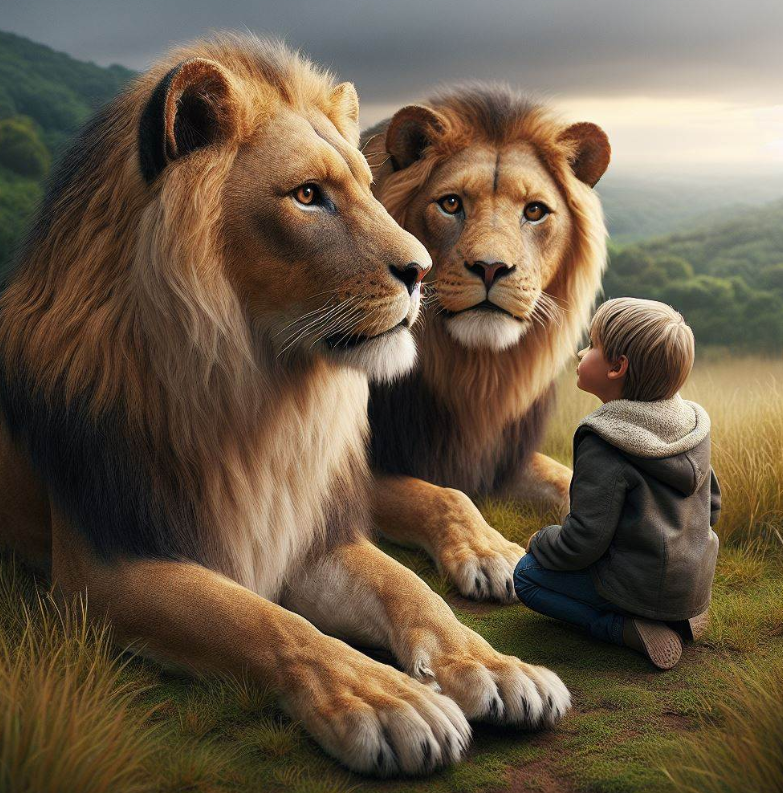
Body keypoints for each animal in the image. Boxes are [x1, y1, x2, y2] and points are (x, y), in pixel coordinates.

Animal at [0, 40, 570, 776]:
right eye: (307, 196)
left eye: (367, 188)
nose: (421, 271)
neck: (264, 396)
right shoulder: (104, 566)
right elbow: (266, 622)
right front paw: (387, 701)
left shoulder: (308, 529)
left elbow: (409, 590)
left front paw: (495, 667)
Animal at [362, 84, 610, 602]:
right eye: (451, 203)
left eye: (534, 211)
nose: (491, 267)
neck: (473, 372)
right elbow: (443, 495)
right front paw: (491, 554)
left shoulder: (496, 454)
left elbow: (565, 476)